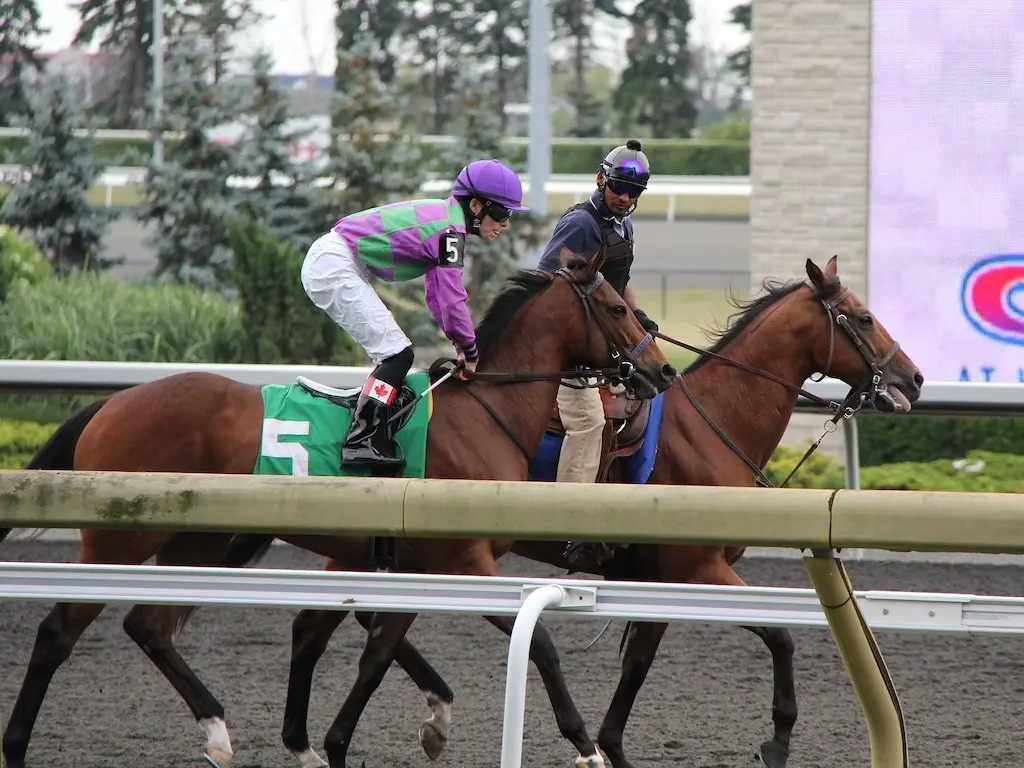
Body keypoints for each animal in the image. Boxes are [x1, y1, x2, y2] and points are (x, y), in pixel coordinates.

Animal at [0, 250, 679, 768]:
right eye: (619, 309)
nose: (662, 369)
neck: (486, 414)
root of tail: (113, 402)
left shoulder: (422, 564)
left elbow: (376, 653)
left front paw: (344, 741)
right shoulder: (465, 556)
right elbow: (539, 643)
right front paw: (587, 747)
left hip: (197, 539)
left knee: (149, 625)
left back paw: (218, 733)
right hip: (119, 539)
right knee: (60, 632)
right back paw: (17, 745)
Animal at [260, 253, 925, 768]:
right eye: (864, 317)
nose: (914, 379)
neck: (712, 423)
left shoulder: (662, 577)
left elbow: (638, 665)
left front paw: (610, 744)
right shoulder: (700, 567)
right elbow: (781, 637)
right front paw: (778, 741)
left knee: (320, 623)